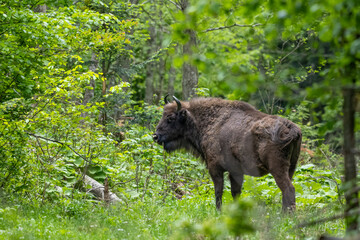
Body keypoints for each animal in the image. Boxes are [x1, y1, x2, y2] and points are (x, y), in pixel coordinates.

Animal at [153, 96, 302, 212]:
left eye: (170, 118)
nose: (155, 136)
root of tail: (291, 128)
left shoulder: (215, 168)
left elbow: (219, 191)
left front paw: (218, 211)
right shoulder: (235, 172)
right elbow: (235, 192)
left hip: (277, 168)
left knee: (288, 189)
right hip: (291, 168)